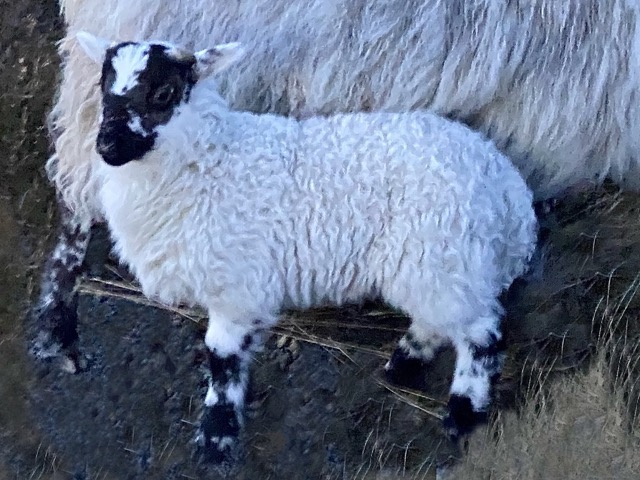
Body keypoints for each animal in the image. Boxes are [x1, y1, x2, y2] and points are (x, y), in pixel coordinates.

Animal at [73, 31, 538, 464]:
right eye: (103, 86)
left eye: (164, 93)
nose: (107, 146)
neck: (209, 164)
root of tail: (508, 190)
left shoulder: (237, 288)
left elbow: (222, 361)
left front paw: (216, 437)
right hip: (438, 264)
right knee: (442, 318)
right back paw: (404, 362)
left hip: (442, 252)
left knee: (483, 333)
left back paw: (463, 413)